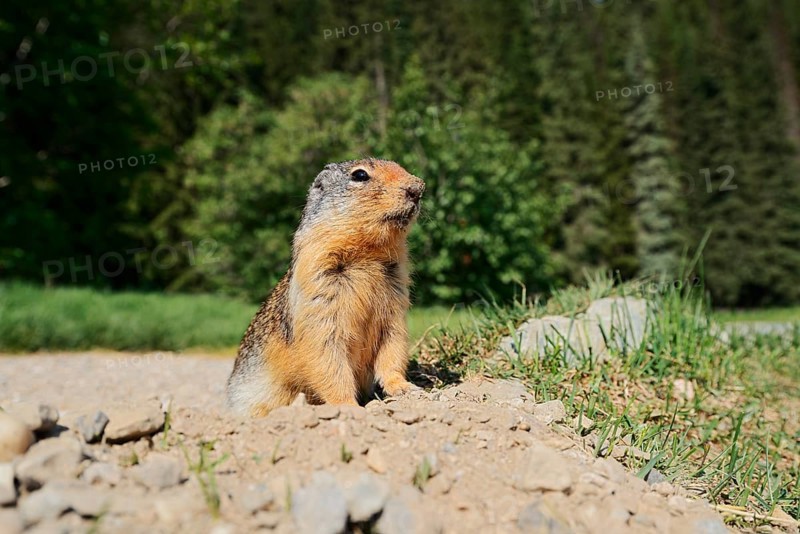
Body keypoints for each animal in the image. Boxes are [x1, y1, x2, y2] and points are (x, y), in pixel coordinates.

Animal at [226, 158, 425, 417]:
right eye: (360, 175)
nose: (418, 188)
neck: (367, 253)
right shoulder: (318, 293)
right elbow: (327, 356)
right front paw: (348, 406)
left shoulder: (395, 304)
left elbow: (393, 346)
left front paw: (405, 388)